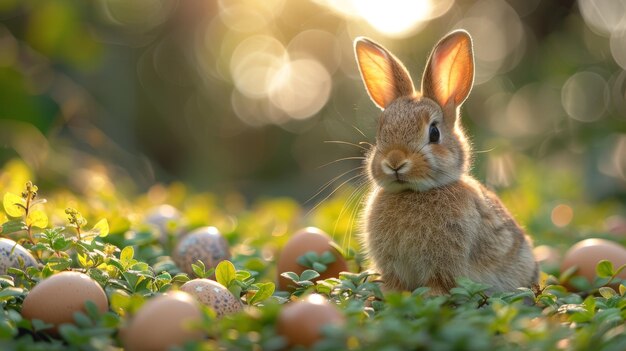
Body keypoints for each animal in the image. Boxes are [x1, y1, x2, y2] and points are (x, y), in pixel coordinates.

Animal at [354, 29, 532, 294]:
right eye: (380, 132)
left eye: (434, 133)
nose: (395, 161)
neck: (413, 192)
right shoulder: (394, 268)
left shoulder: (443, 266)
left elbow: (437, 286)